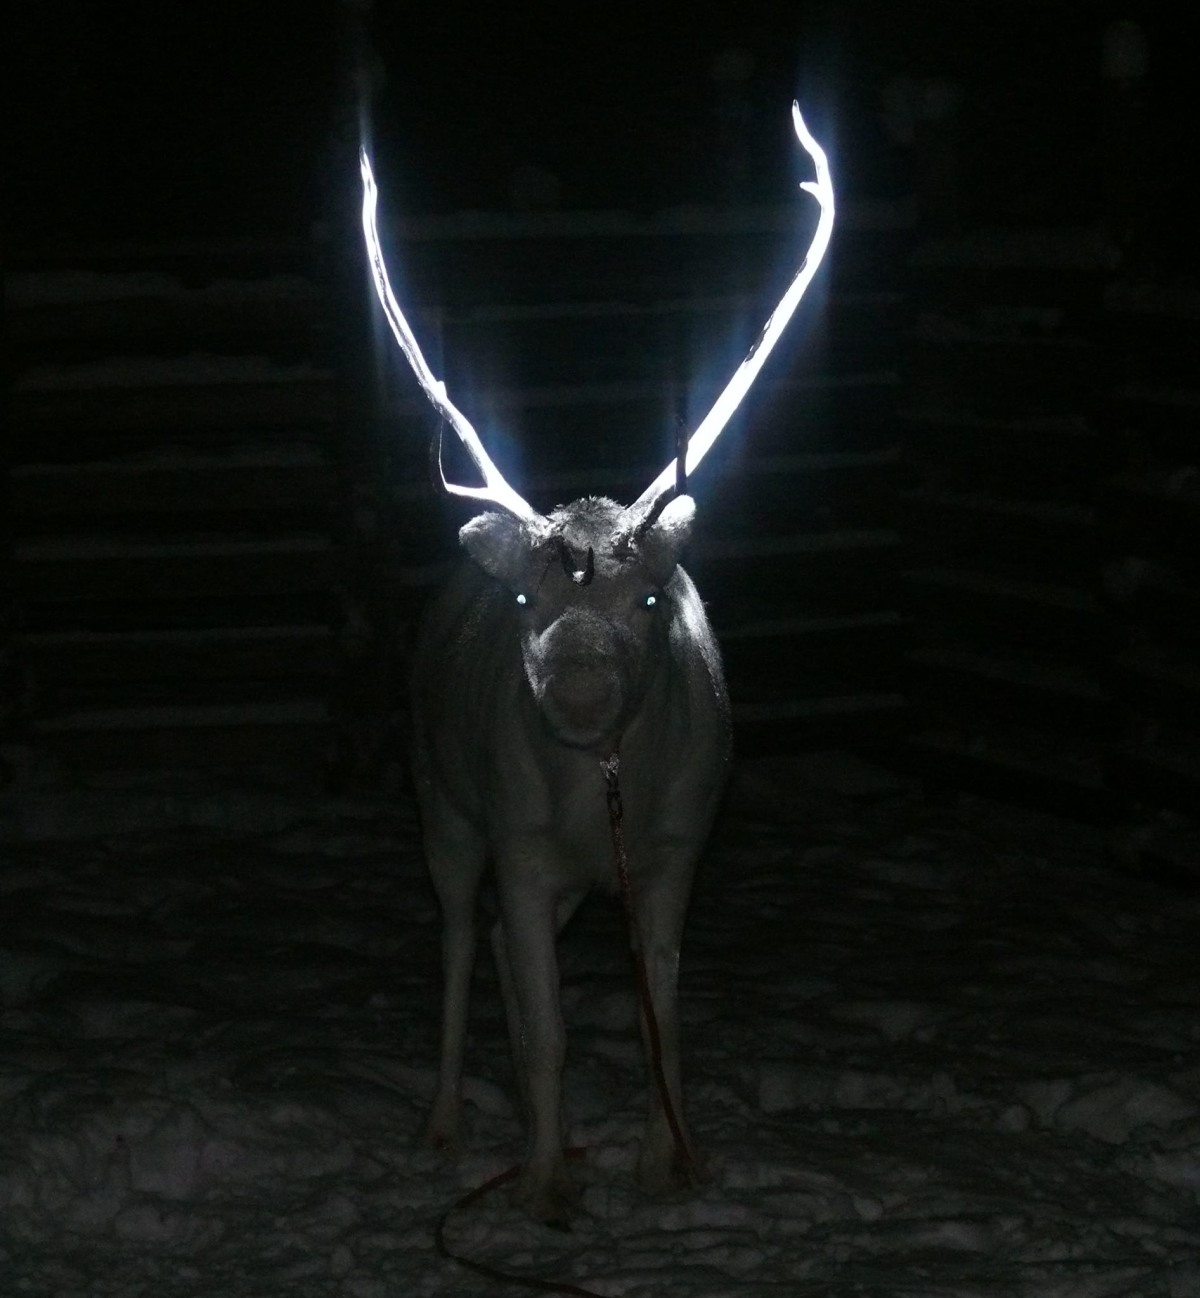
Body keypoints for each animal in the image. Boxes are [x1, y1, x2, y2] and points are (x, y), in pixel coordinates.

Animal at [359, 103, 834, 1225]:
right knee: (460, 936)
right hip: (442, 803)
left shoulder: (673, 846)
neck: (601, 792)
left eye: (651, 600)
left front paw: (671, 1164)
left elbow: (662, 1014)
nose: (576, 689)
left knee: (493, 942)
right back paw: (444, 1123)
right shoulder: (523, 842)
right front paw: (545, 1180)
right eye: (529, 600)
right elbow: (546, 1030)